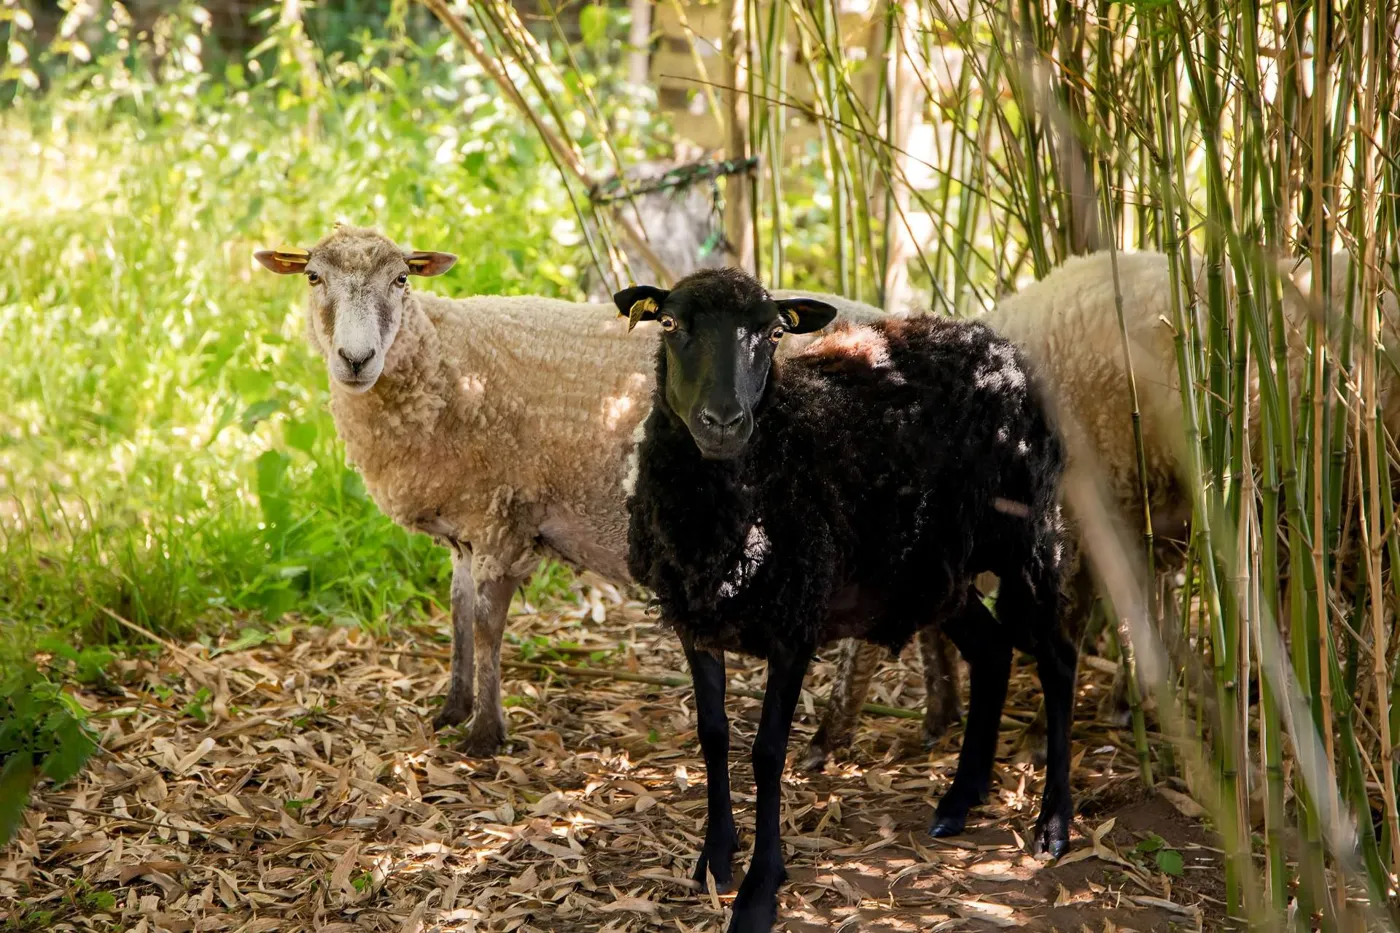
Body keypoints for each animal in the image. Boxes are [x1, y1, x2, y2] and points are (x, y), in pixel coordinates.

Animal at [253, 225, 899, 756]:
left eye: (401, 279)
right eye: (314, 277)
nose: (355, 358)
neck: (446, 360)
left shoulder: (501, 514)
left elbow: (486, 625)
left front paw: (484, 735)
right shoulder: (467, 523)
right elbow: (459, 613)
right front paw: (453, 708)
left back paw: (831, 737)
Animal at [617, 267, 1075, 933]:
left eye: (773, 333)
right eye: (671, 324)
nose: (723, 421)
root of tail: (993, 340)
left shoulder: (796, 622)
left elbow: (767, 752)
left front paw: (759, 890)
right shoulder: (694, 622)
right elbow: (713, 734)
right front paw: (714, 860)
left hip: (1025, 537)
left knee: (1058, 658)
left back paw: (1054, 825)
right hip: (935, 572)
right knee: (992, 652)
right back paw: (959, 801)